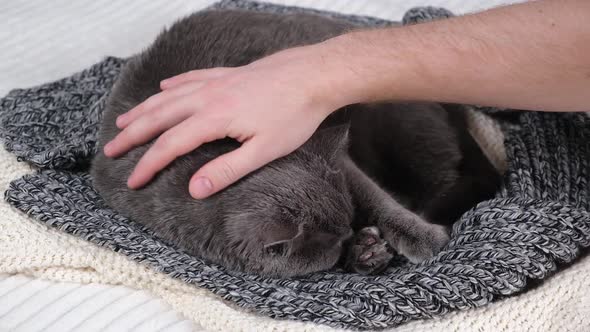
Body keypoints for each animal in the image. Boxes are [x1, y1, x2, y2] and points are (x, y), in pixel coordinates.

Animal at [90, 8, 502, 278]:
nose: (350, 235)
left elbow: (376, 197)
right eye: (333, 240)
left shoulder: (318, 150)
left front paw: (420, 238)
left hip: (391, 119)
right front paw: (362, 250)